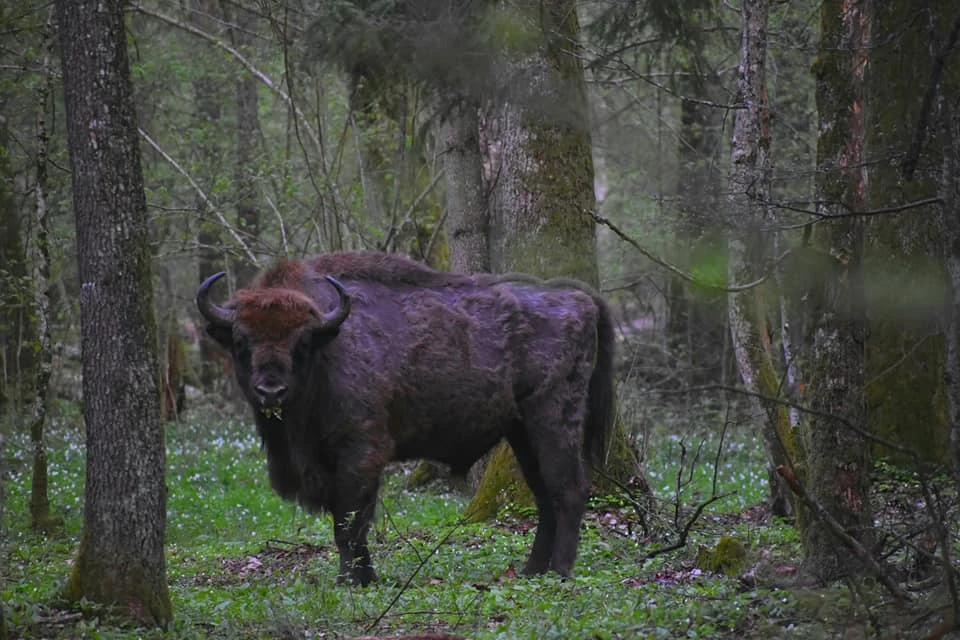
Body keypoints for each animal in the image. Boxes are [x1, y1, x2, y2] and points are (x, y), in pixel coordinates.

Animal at [196, 251, 615, 585]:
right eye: (241, 341)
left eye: (301, 343)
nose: (271, 391)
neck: (329, 345)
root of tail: (579, 298)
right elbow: (348, 523)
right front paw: (364, 576)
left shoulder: (361, 454)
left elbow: (349, 523)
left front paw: (350, 580)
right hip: (522, 433)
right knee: (545, 497)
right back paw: (531, 571)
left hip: (552, 420)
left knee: (569, 490)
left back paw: (560, 571)